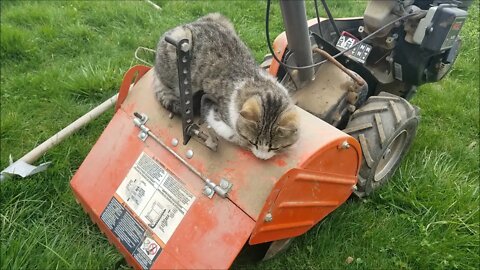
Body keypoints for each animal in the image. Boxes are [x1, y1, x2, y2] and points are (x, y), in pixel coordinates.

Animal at [154, 12, 298, 159]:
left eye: (275, 147)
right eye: (252, 141)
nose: (261, 157)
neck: (255, 80)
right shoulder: (213, 108)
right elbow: (230, 134)